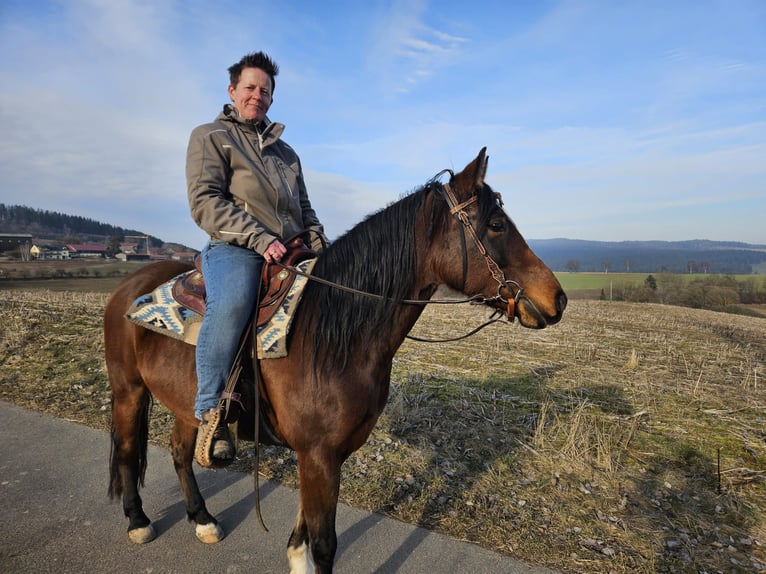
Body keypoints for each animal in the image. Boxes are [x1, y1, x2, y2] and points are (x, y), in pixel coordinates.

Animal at [103, 148, 567, 573]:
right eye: (496, 224)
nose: (558, 298)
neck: (332, 337)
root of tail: (129, 285)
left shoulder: (330, 455)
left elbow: (303, 532)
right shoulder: (319, 456)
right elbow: (324, 543)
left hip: (185, 404)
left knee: (181, 452)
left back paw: (202, 519)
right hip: (128, 392)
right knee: (127, 451)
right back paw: (138, 521)